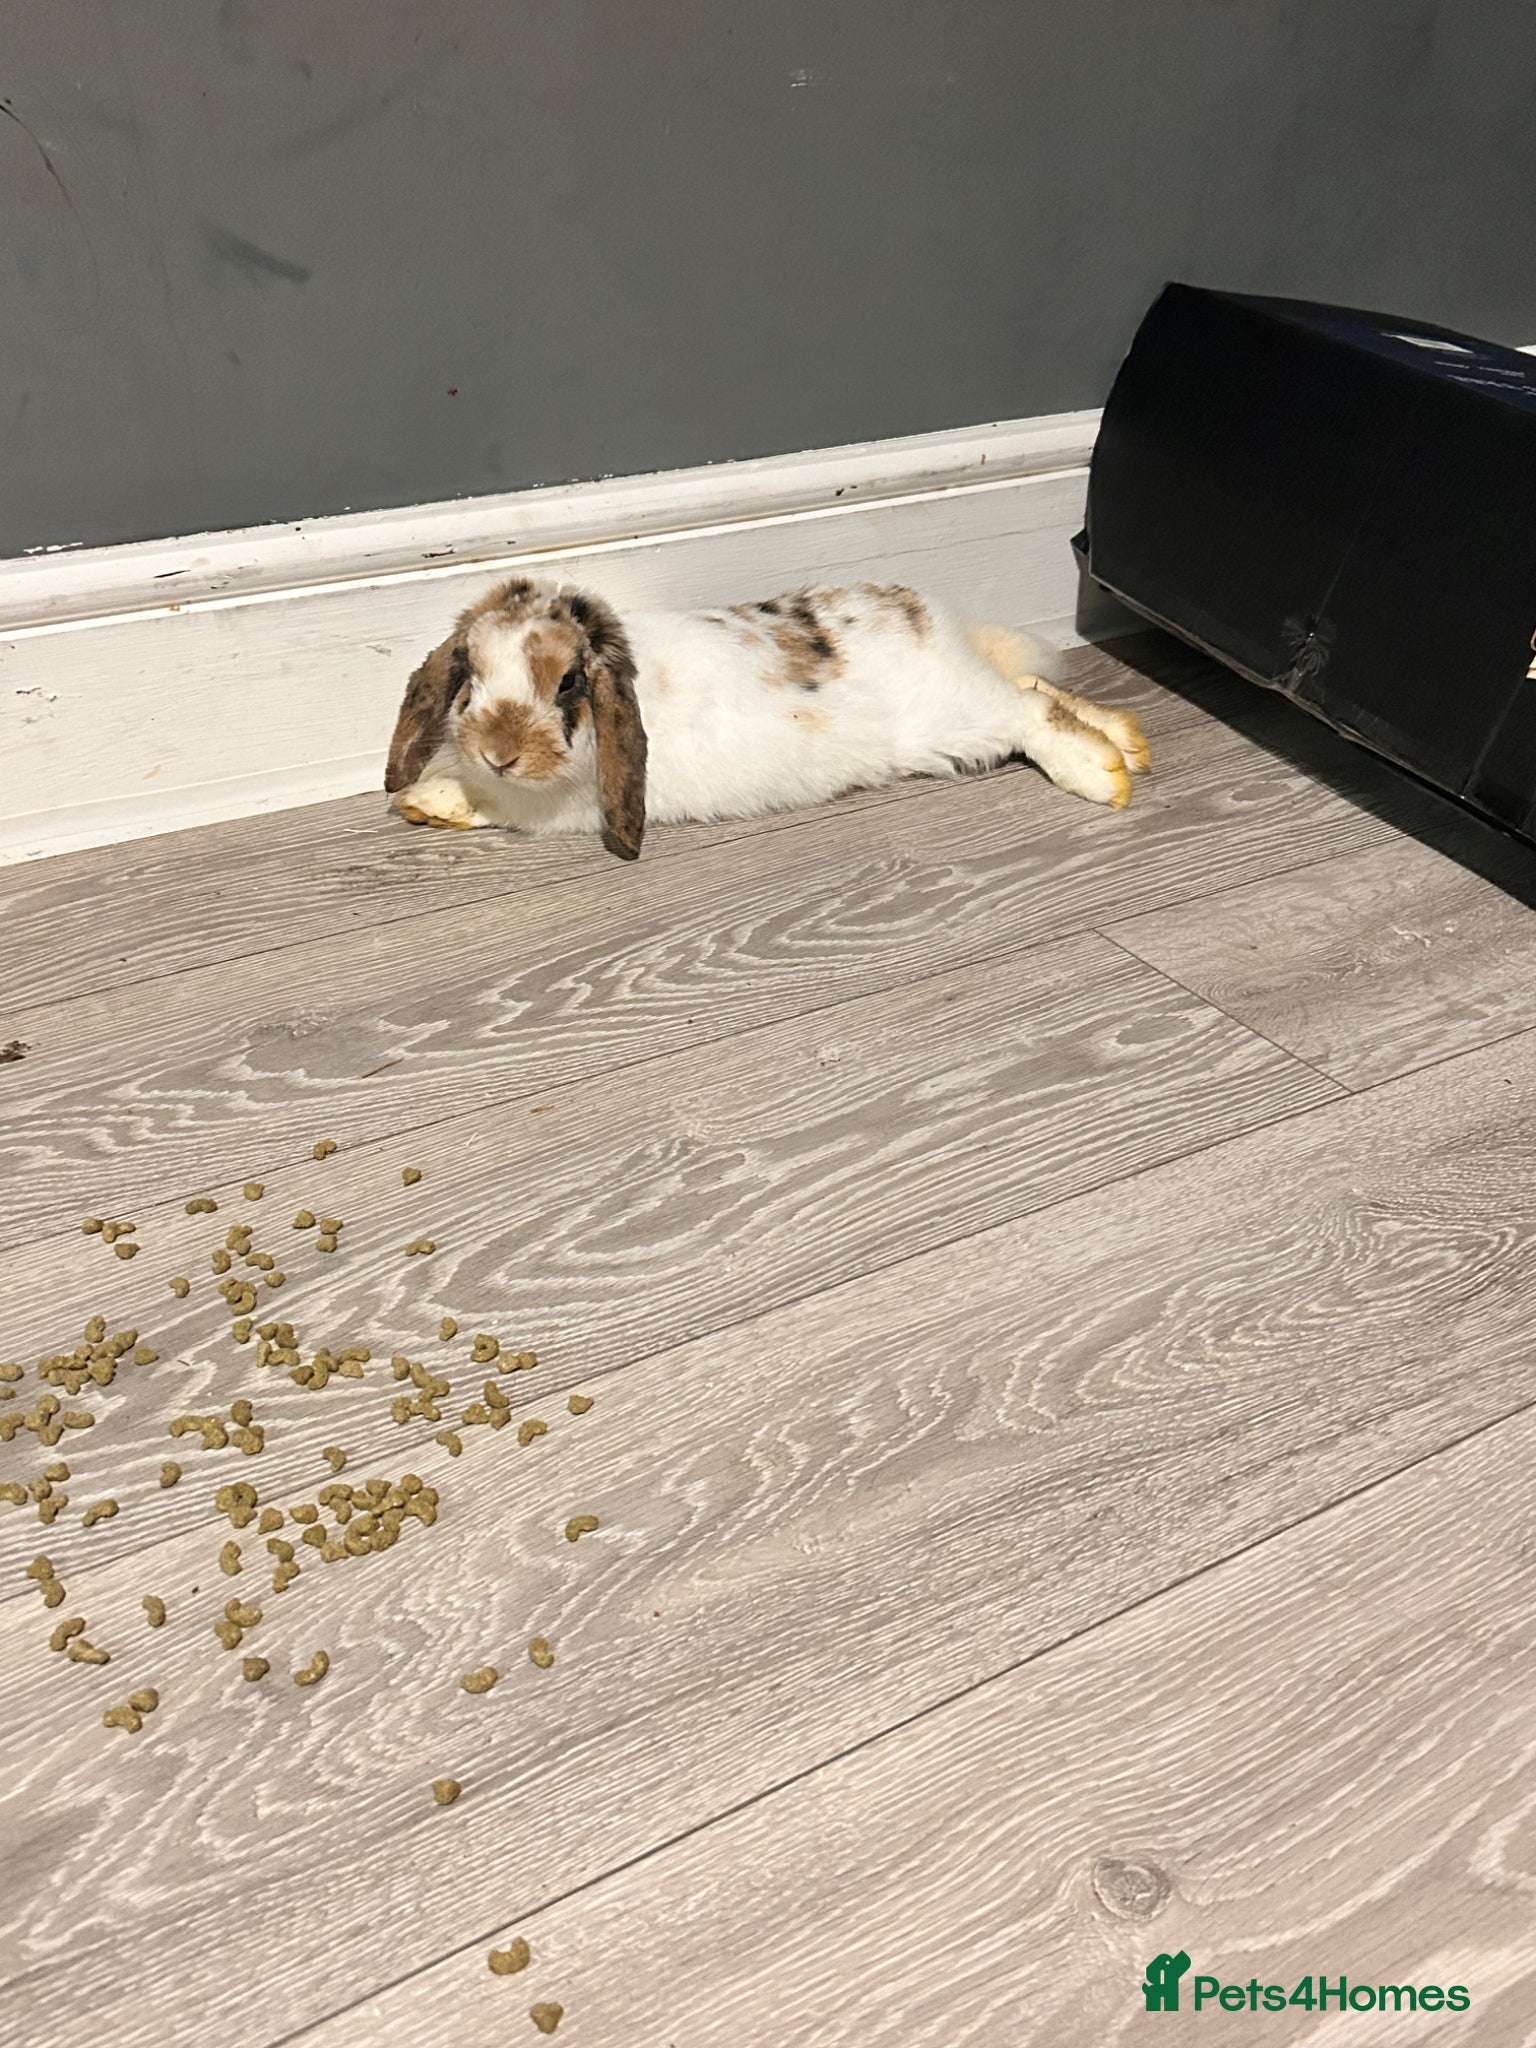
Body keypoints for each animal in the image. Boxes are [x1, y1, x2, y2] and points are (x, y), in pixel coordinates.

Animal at [384, 575, 1149, 860]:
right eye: (471, 677)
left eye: (568, 682)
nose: (500, 751)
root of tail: (928, 618)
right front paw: (425, 800)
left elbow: (494, 806)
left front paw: (434, 799)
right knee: (1035, 685)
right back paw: (1130, 745)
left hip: (957, 720)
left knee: (1030, 711)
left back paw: (1104, 775)